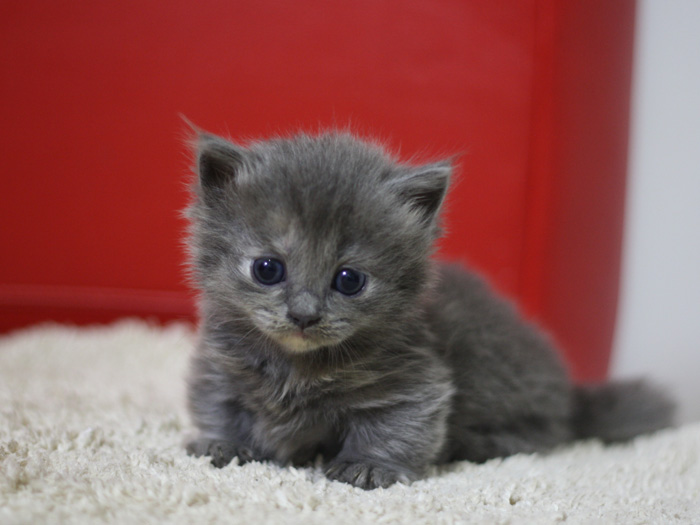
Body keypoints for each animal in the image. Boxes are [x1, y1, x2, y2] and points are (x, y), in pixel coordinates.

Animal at [185, 129, 672, 490]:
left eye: (349, 280)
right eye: (268, 269)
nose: (304, 315)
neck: (297, 367)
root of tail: (572, 397)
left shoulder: (412, 381)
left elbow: (396, 426)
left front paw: (368, 466)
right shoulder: (220, 368)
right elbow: (218, 407)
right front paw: (221, 445)